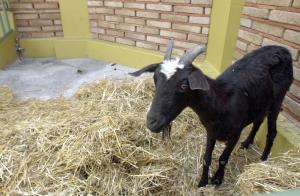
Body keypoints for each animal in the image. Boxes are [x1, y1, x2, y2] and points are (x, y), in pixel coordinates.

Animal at [129, 41, 292, 187]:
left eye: (184, 85)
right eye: (155, 79)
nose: (152, 122)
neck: (221, 103)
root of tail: (283, 49)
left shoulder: (235, 133)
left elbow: (223, 158)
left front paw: (217, 180)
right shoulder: (211, 131)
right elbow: (206, 157)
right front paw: (202, 182)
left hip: (277, 101)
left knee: (272, 131)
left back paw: (263, 159)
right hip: (261, 102)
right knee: (258, 120)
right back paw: (247, 143)